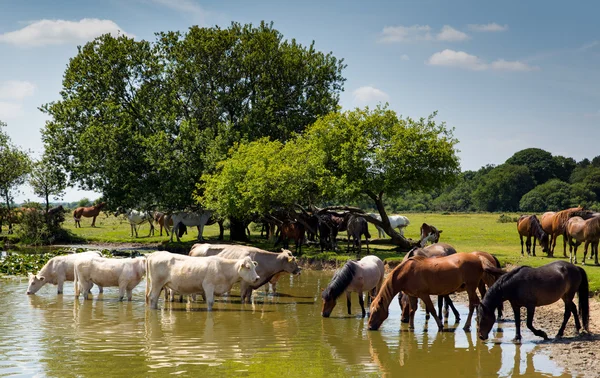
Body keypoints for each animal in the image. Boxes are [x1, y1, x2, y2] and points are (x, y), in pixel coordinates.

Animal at [368, 252, 504, 332]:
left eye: (376, 311)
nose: (369, 327)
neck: (405, 273)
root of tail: (479, 258)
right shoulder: (412, 295)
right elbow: (412, 310)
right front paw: (411, 327)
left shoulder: (424, 295)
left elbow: (432, 310)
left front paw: (440, 326)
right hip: (470, 288)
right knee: (477, 302)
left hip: (470, 288)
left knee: (472, 305)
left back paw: (467, 325)